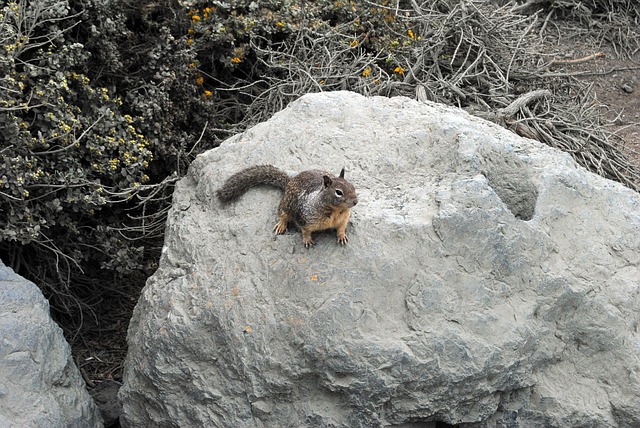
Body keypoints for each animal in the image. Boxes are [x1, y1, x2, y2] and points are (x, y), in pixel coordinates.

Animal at [216, 165, 358, 247]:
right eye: (339, 192)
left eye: (352, 186)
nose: (355, 202)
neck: (335, 211)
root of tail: (290, 180)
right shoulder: (304, 218)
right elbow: (305, 231)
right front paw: (307, 240)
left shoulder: (344, 218)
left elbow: (341, 227)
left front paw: (342, 236)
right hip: (285, 205)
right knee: (282, 215)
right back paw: (281, 225)